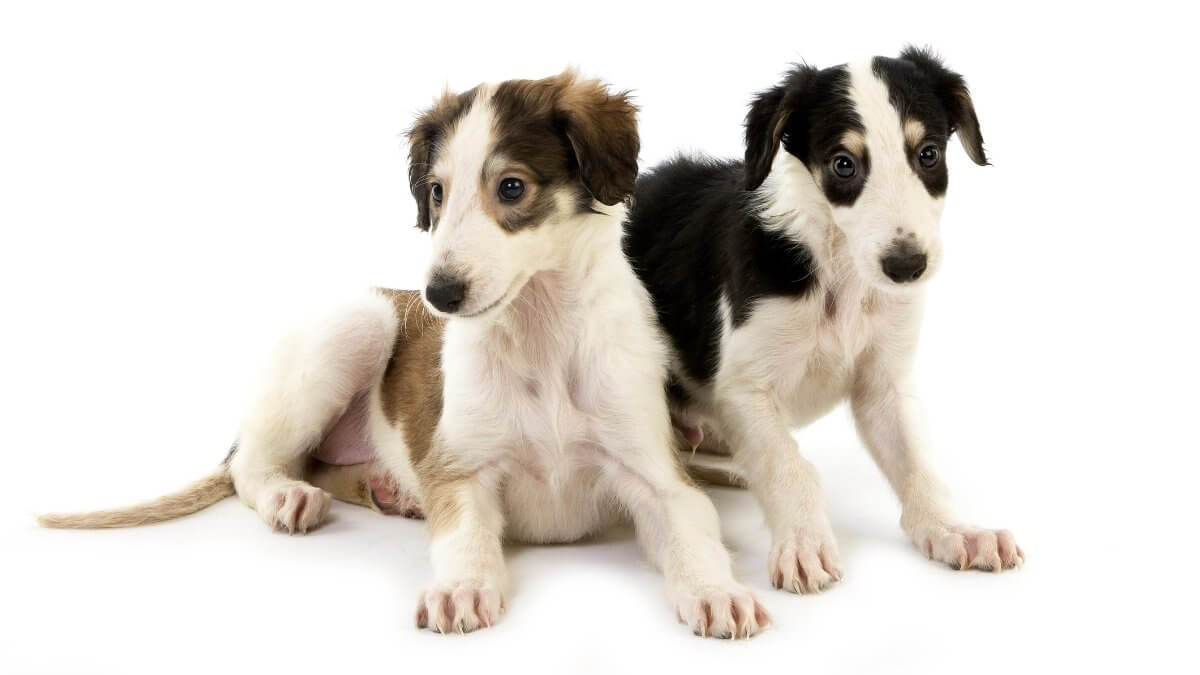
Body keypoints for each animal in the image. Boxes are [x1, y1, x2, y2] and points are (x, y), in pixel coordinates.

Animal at [42, 72, 768, 634]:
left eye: (511, 187)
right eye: (437, 192)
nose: (438, 295)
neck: (540, 335)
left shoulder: (659, 475)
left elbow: (696, 534)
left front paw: (717, 593)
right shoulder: (461, 467)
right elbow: (464, 533)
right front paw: (464, 587)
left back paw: (384, 486)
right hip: (355, 325)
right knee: (253, 463)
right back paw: (291, 497)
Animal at [624, 48, 1027, 593]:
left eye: (928, 154)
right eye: (843, 164)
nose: (906, 267)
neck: (841, 272)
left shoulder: (884, 384)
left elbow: (918, 465)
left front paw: (953, 530)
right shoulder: (746, 389)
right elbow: (789, 466)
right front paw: (803, 544)